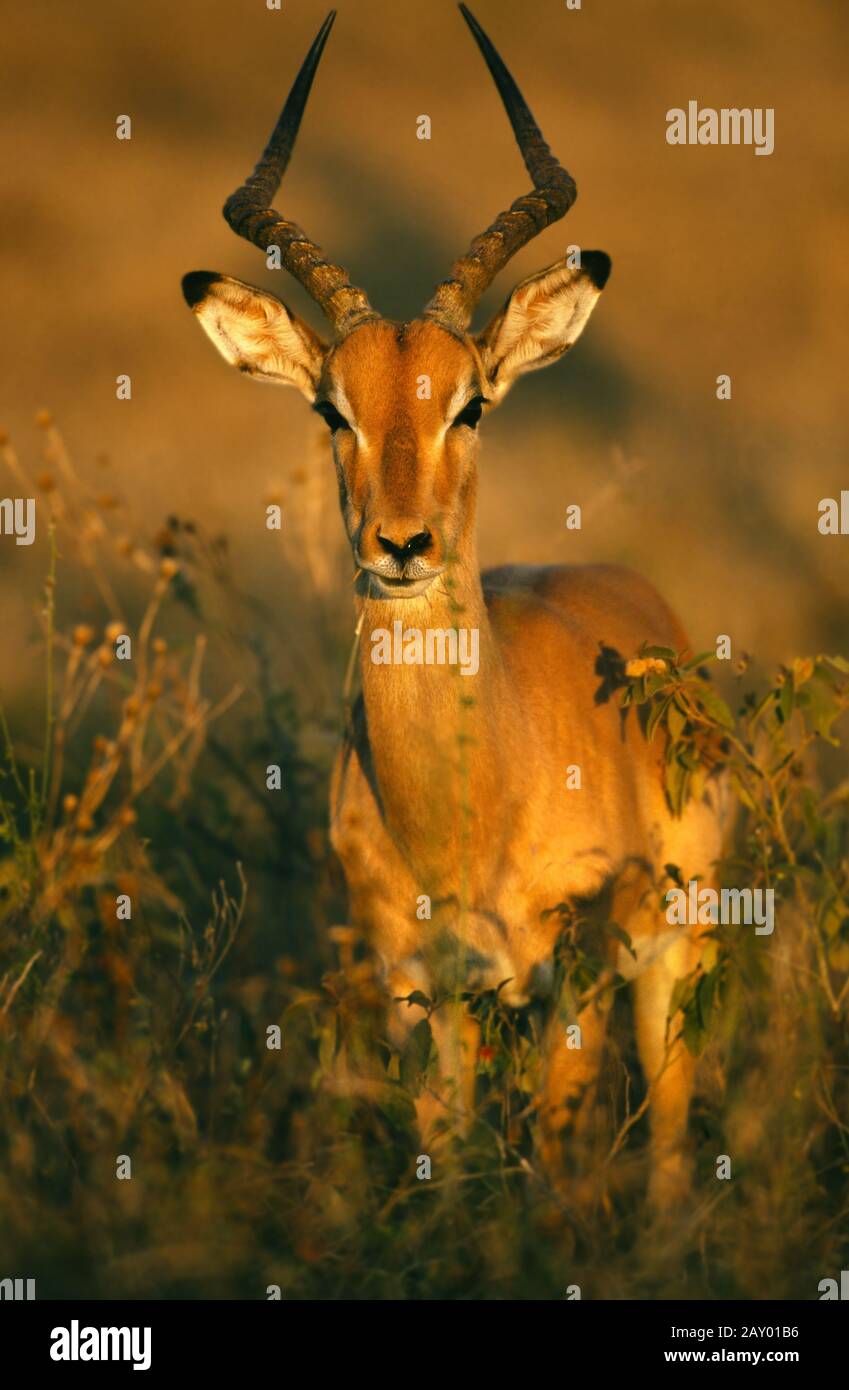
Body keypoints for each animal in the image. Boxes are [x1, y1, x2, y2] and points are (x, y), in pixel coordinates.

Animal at [182, 5, 721, 1210]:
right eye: (332, 408)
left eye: (470, 403)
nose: (401, 545)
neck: (475, 804)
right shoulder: (417, 982)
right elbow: (446, 1147)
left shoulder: (571, 970)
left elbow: (560, 1152)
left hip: (677, 952)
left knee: (668, 1126)